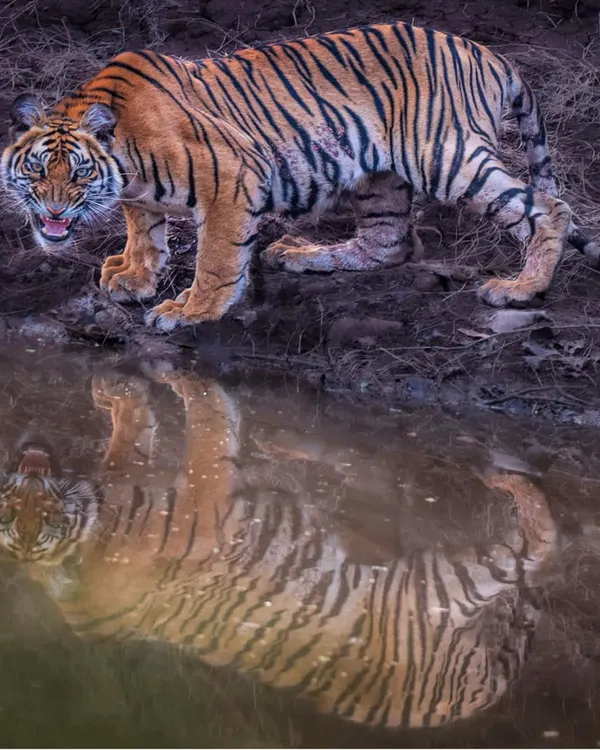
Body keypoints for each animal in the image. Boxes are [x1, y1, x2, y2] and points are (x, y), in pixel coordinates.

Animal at [0, 364, 562, 730]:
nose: (30, 463)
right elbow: (208, 427)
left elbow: (131, 438)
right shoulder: (206, 505)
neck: (92, 518)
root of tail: (465, 705)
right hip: (439, 591)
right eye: (19, 513)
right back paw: (509, 481)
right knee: (535, 547)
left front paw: (119, 391)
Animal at [2, 22, 598, 332]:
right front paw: (133, 277)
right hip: (379, 176)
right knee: (389, 243)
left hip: (445, 156)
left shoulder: (232, 174)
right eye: (36, 170)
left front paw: (191, 310)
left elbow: (216, 256)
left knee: (549, 208)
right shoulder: (141, 196)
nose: (53, 212)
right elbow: (144, 233)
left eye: (78, 174)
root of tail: (490, 55)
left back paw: (521, 289)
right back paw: (301, 254)